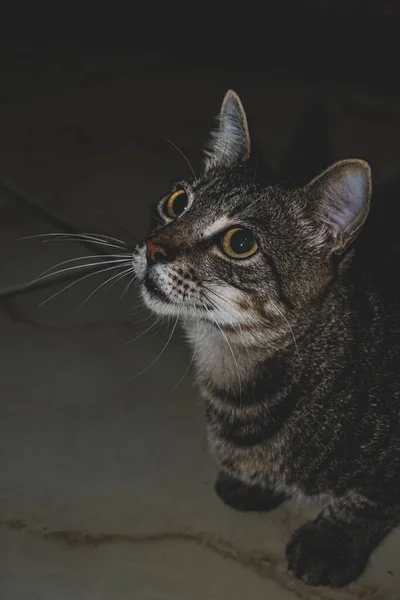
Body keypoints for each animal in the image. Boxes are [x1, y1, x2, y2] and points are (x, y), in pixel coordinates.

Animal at [133, 91, 400, 588]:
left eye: (240, 243)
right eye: (178, 202)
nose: (154, 248)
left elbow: (366, 502)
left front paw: (330, 544)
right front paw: (251, 483)